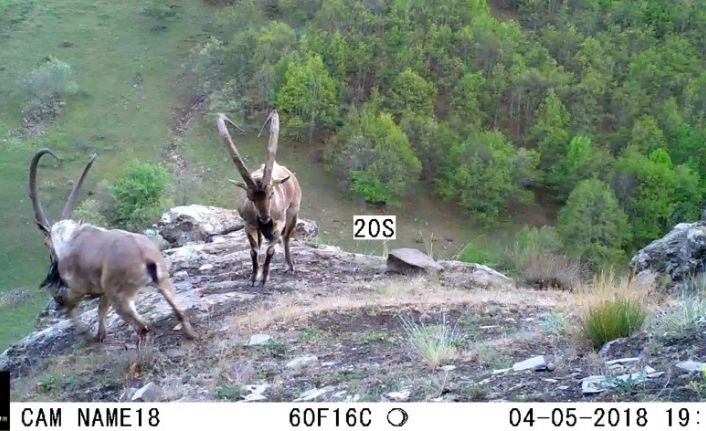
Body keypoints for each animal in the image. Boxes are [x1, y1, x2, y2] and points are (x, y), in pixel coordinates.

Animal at [28, 149, 197, 344]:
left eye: (46, 243)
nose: (51, 273)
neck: (69, 239)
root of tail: (146, 260)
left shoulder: (78, 288)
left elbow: (69, 306)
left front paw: (86, 333)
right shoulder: (104, 292)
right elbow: (101, 310)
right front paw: (99, 335)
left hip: (121, 297)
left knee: (143, 327)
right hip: (164, 283)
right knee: (180, 313)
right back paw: (191, 334)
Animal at [216, 111, 302, 286]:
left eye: (271, 193)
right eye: (250, 197)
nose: (265, 220)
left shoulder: (279, 222)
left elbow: (271, 249)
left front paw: (264, 278)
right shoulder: (248, 225)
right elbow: (253, 251)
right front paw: (253, 277)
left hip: (293, 212)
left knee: (286, 237)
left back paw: (289, 265)